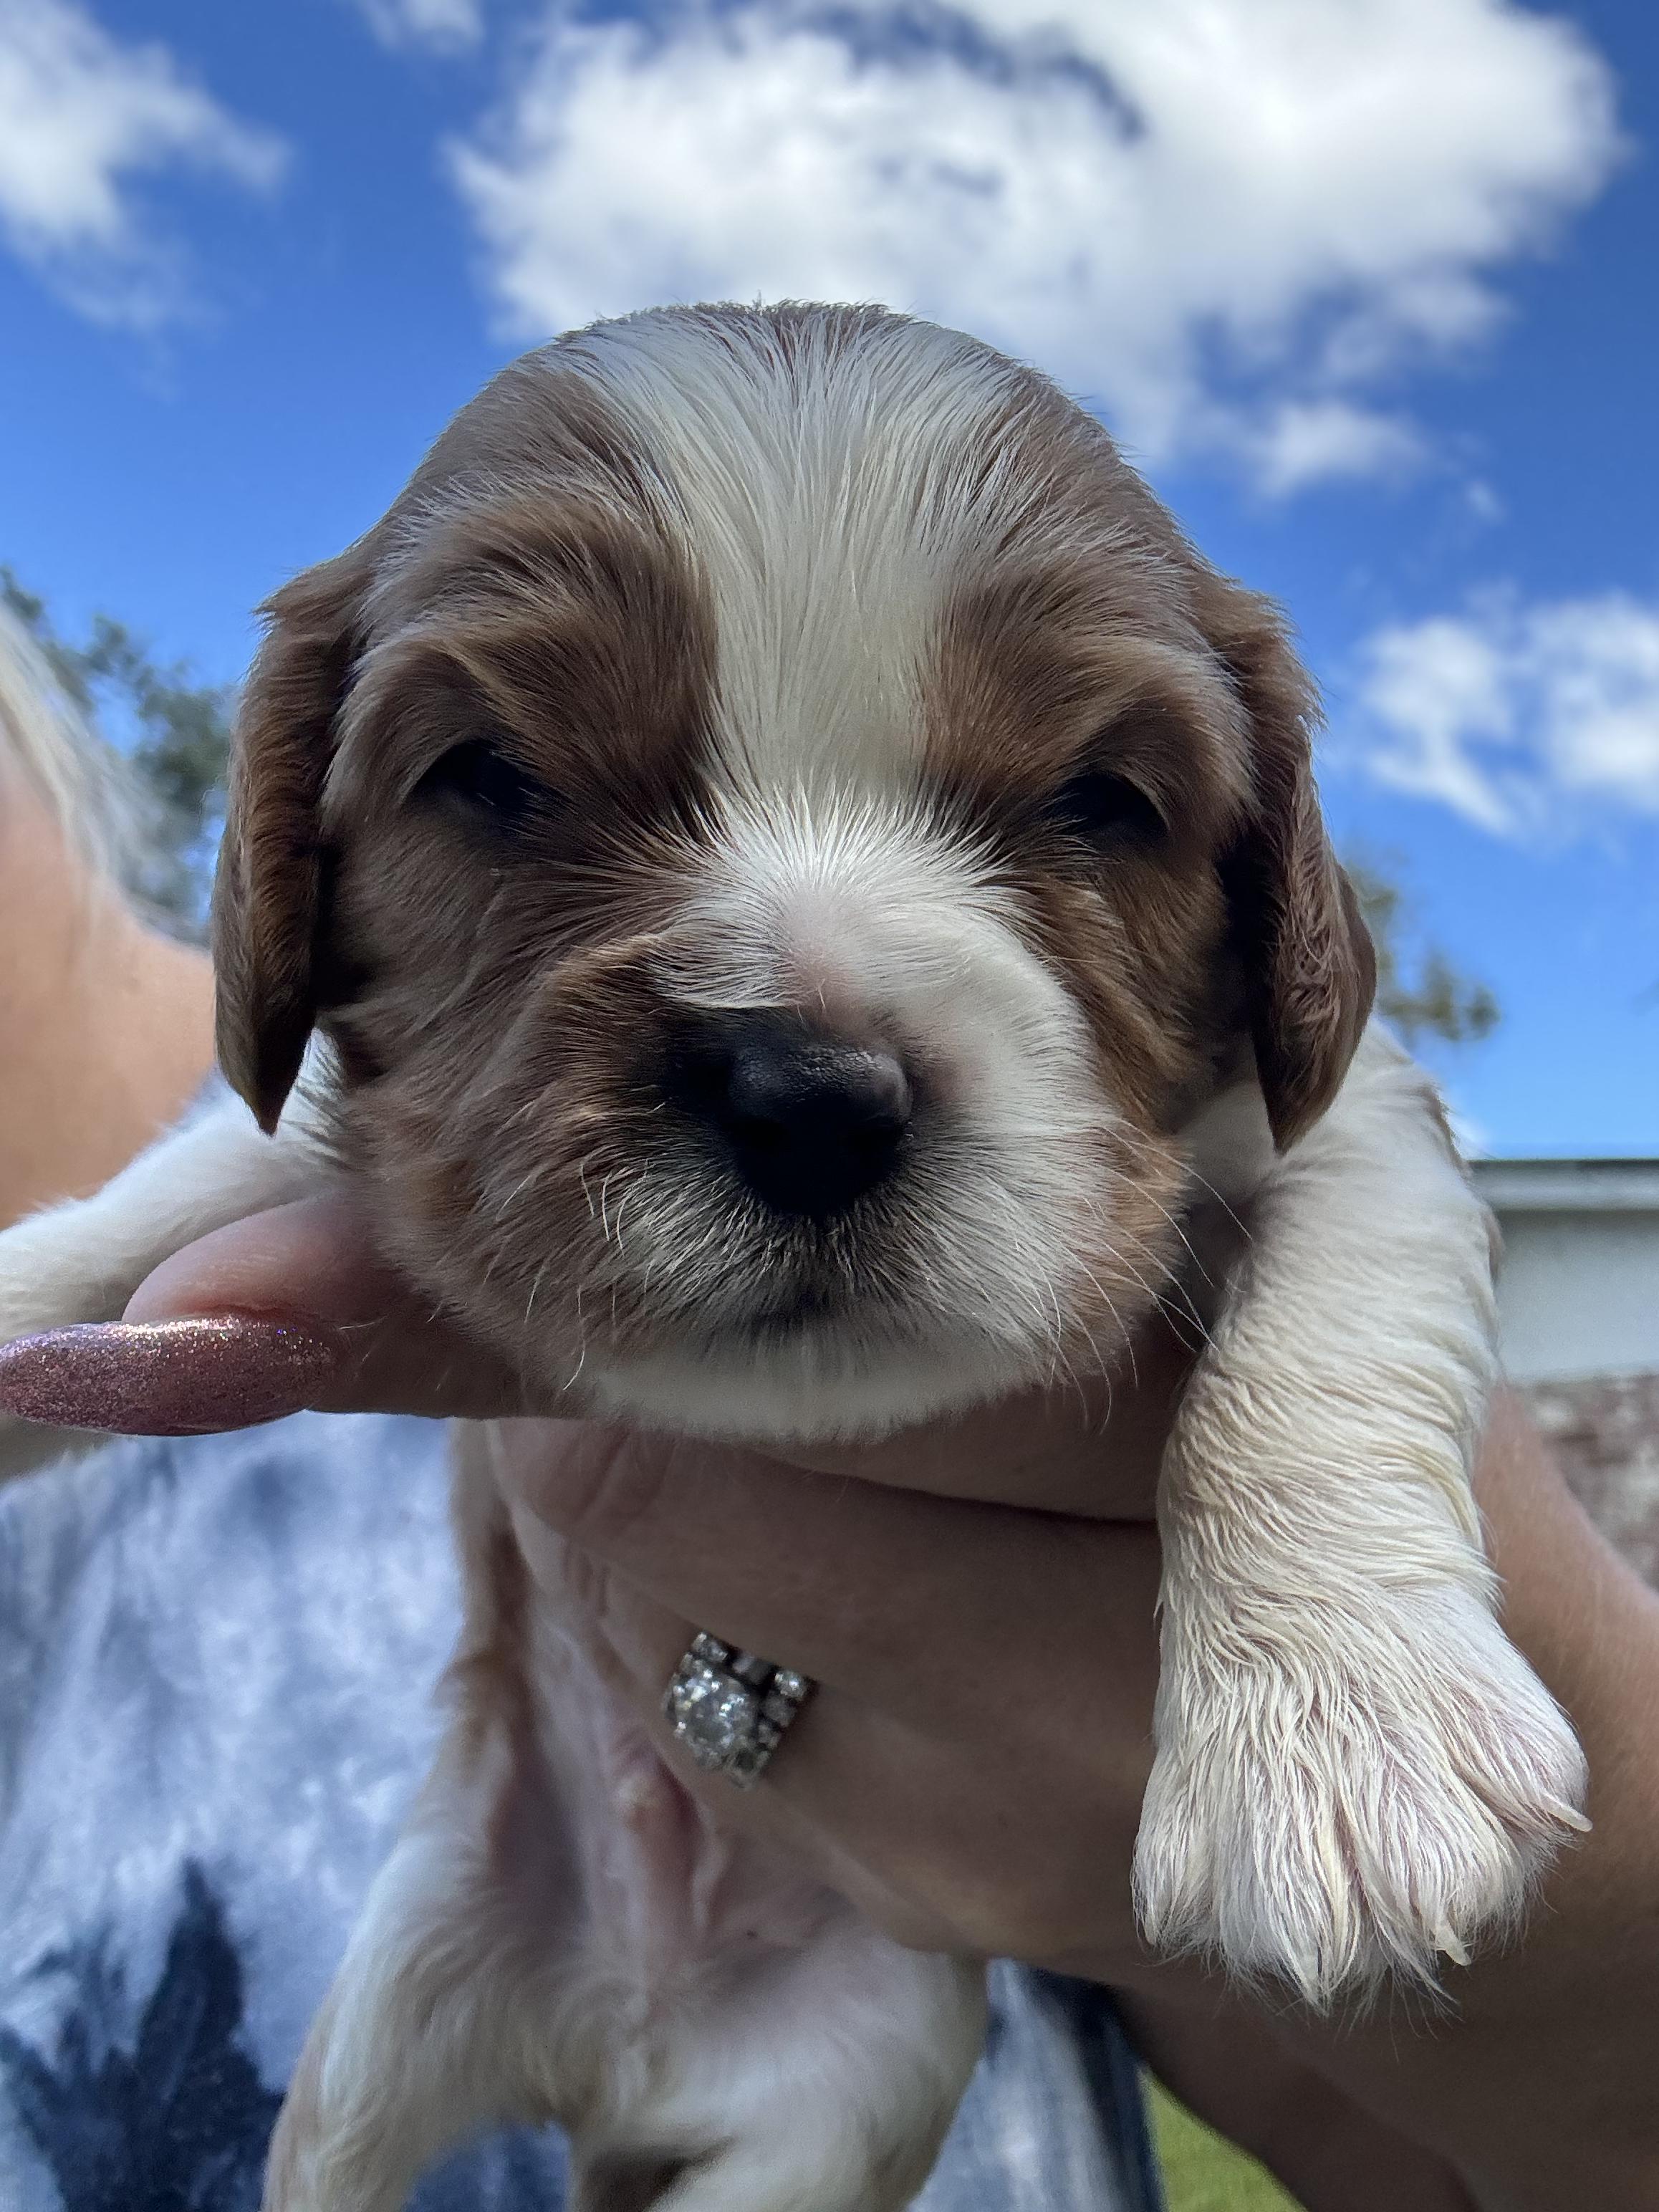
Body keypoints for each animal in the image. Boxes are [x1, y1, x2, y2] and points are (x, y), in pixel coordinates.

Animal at [0, 303, 1587, 2212]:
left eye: (1102, 801)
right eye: (493, 779)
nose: (810, 1097)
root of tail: (615, 2042)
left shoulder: (1346, 1117)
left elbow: (1330, 1315)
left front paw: (1342, 1722)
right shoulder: (372, 1127)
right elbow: (170, 1192)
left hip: (849, 2087)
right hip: (366, 2069)